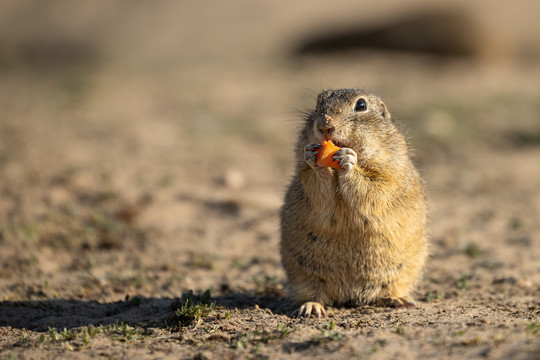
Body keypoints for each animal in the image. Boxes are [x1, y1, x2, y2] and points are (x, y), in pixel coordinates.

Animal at [280, 89, 428, 318]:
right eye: (317, 105)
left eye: (361, 105)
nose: (325, 126)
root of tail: (350, 295)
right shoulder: (303, 175)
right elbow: (315, 186)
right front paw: (312, 156)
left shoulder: (389, 173)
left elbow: (374, 188)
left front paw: (349, 160)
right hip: (301, 275)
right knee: (312, 294)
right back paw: (311, 308)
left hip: (406, 271)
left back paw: (399, 300)